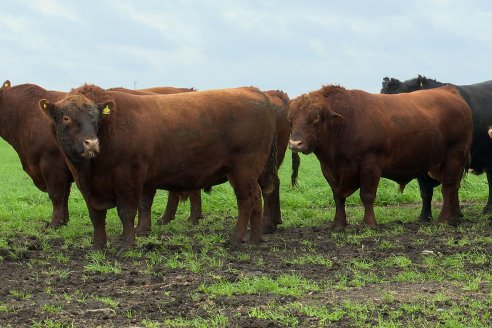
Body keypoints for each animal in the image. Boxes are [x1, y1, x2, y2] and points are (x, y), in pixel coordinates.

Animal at [40, 84, 278, 249]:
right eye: (66, 117)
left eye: (95, 117)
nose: (91, 143)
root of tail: (253, 91)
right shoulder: (86, 184)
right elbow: (96, 216)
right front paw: (98, 246)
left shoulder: (129, 175)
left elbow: (127, 211)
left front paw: (126, 244)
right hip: (251, 173)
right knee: (256, 199)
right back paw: (255, 238)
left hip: (243, 170)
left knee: (247, 201)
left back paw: (236, 238)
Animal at [288, 86, 472, 227]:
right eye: (291, 118)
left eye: (316, 117)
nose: (295, 143)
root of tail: (448, 90)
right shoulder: (329, 169)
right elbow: (338, 197)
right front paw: (339, 223)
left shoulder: (370, 163)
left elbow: (367, 195)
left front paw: (369, 223)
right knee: (453, 188)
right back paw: (454, 216)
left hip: (455, 155)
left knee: (448, 187)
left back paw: (444, 219)